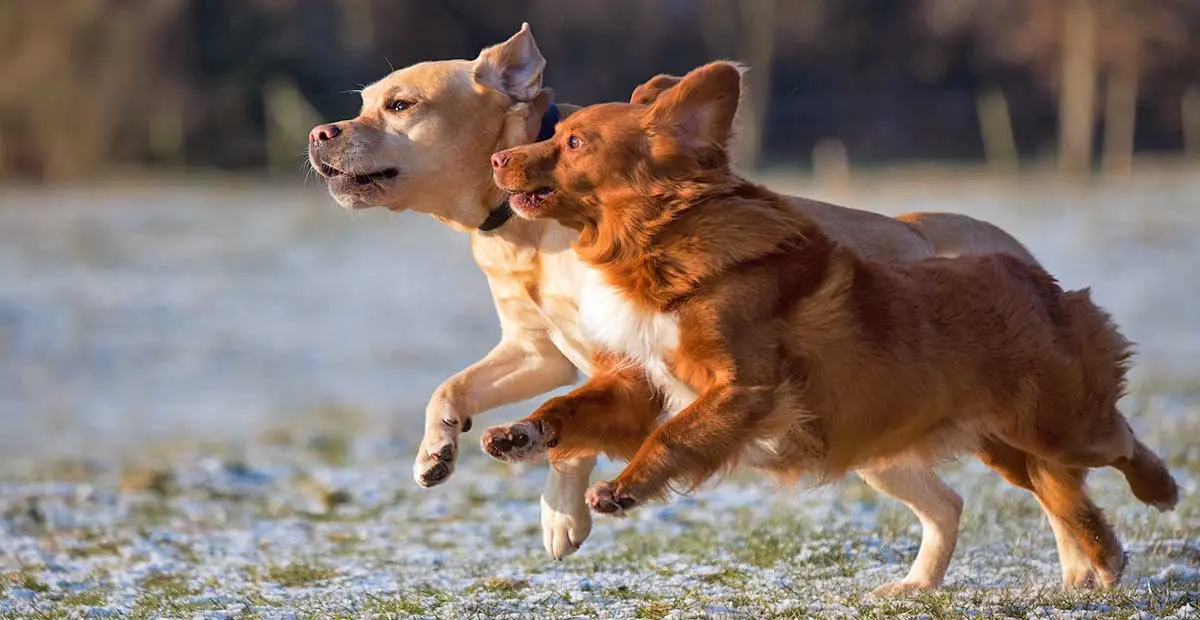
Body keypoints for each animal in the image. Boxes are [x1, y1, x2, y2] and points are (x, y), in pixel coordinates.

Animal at [307, 24, 1051, 575]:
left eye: (402, 105)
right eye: (365, 101)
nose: (320, 133)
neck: (520, 230)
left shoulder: (614, 356)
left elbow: (574, 441)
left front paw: (562, 517)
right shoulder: (536, 349)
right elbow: (452, 388)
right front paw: (435, 451)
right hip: (865, 443)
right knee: (947, 504)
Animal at [482, 61, 1176, 590]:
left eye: (574, 142)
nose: (496, 157)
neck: (659, 245)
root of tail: (1033, 276)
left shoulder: (743, 387)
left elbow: (674, 437)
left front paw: (623, 488)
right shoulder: (644, 383)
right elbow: (572, 406)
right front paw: (519, 433)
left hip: (1054, 425)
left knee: (1117, 442)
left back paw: (1160, 492)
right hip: (995, 445)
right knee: (1039, 498)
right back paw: (1057, 566)